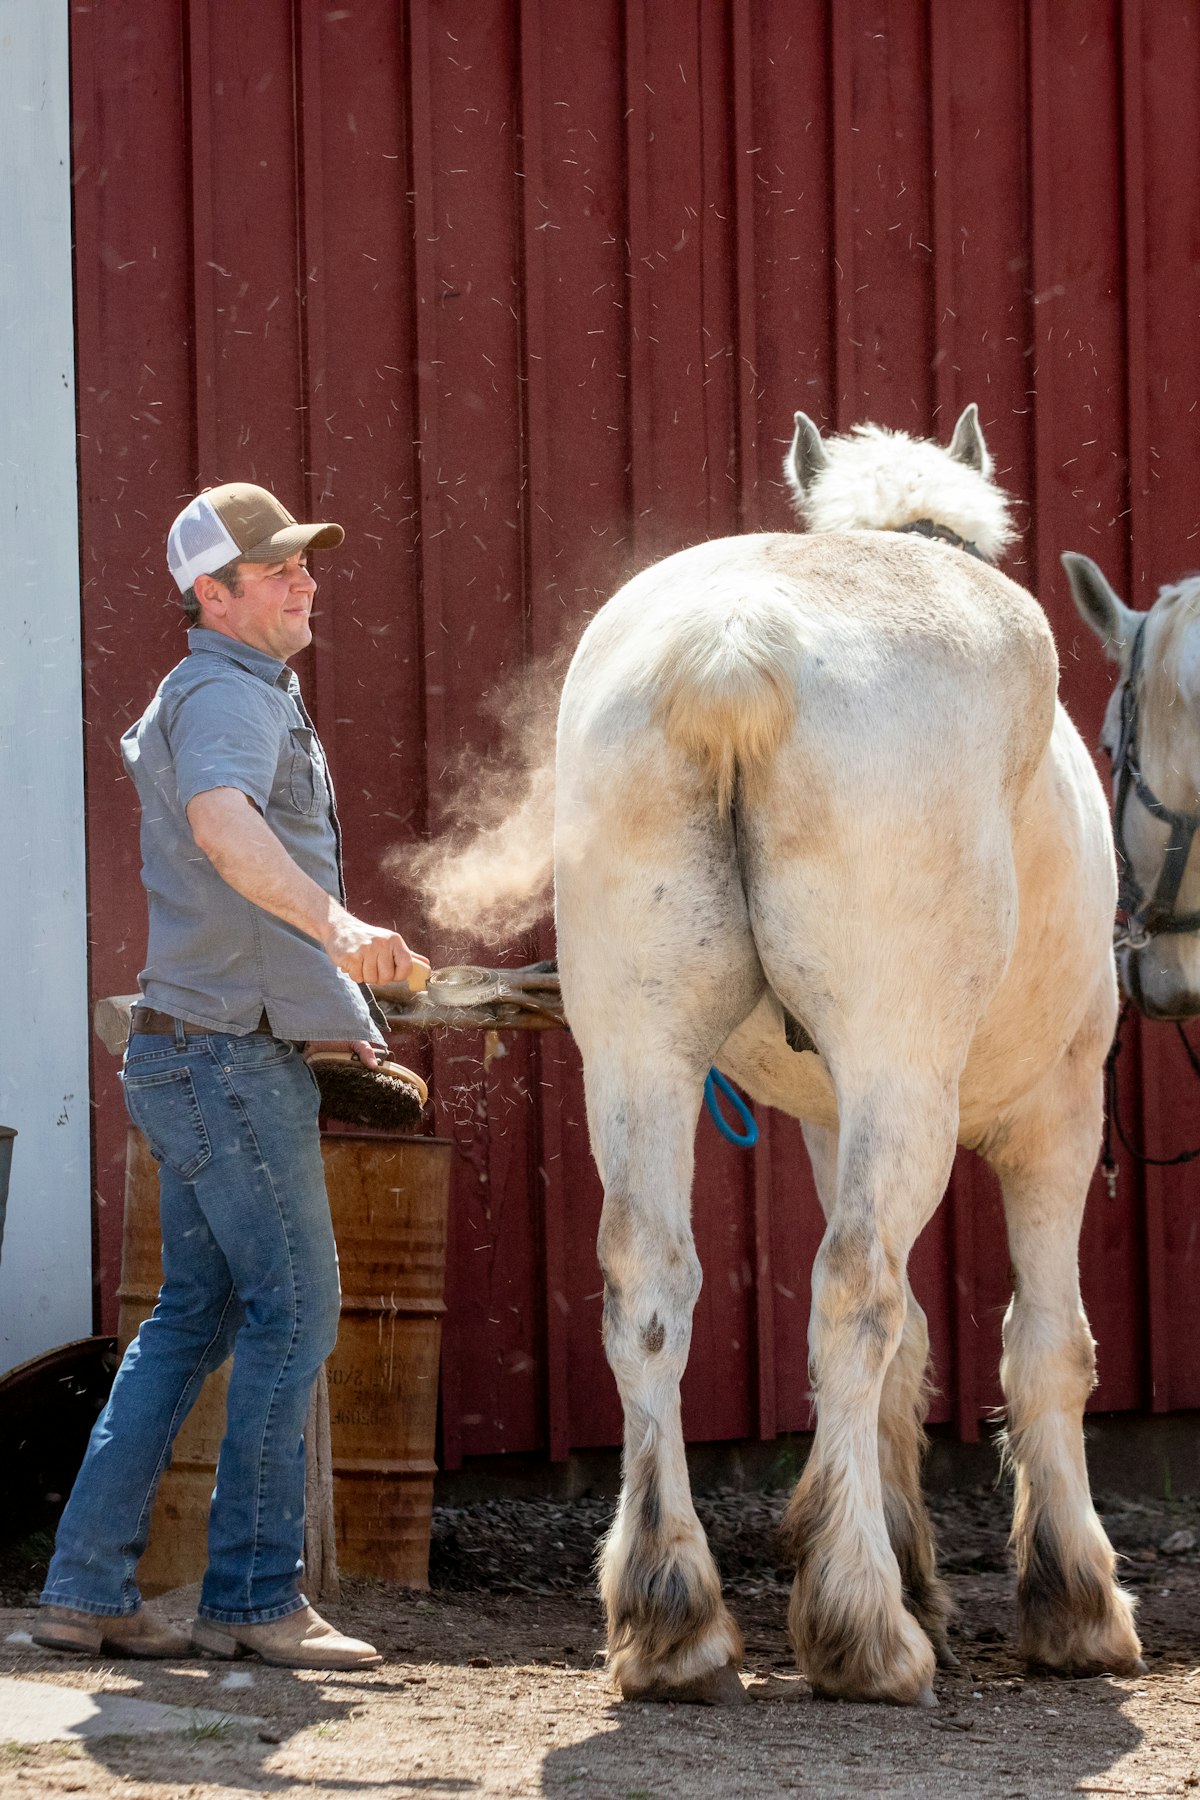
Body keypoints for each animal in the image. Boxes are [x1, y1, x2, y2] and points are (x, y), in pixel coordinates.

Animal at [553, 407, 1144, 1706]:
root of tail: (730, 654)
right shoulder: (1060, 1112)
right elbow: (1048, 1344)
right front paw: (1074, 1601)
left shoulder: (827, 1119)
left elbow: (916, 1341)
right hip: (901, 1066)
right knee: (853, 1287)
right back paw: (864, 1626)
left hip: (638, 1050)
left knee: (650, 1285)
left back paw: (674, 1617)